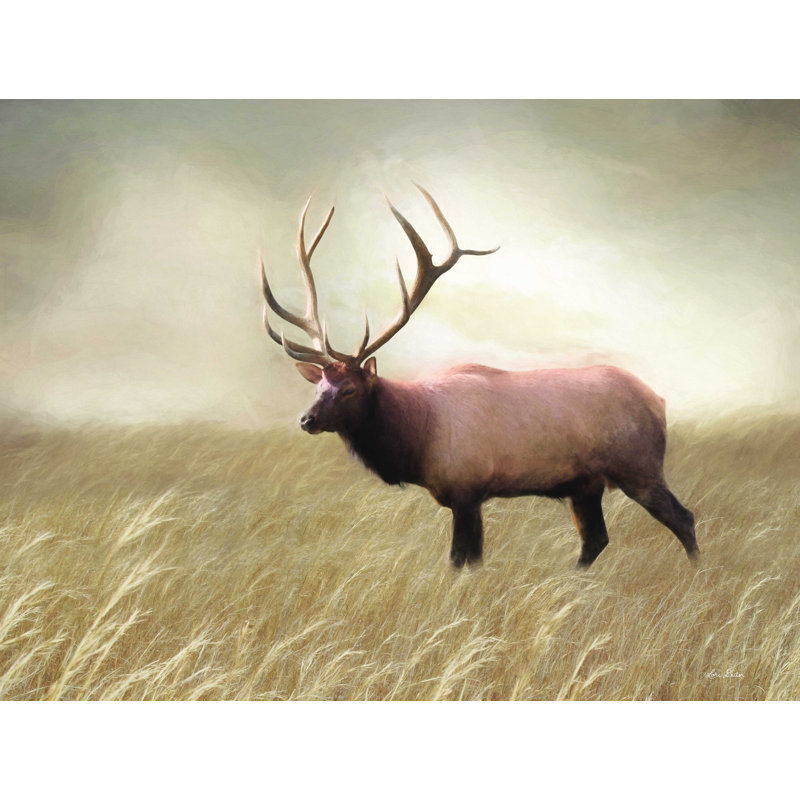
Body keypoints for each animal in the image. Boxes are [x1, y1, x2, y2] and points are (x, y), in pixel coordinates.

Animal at [259, 185, 698, 569]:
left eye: (349, 389)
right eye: (318, 384)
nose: (307, 419)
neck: (418, 438)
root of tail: (659, 400)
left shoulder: (466, 489)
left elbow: (458, 559)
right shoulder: (471, 496)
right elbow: (475, 559)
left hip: (639, 465)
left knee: (684, 518)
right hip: (586, 485)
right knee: (596, 539)